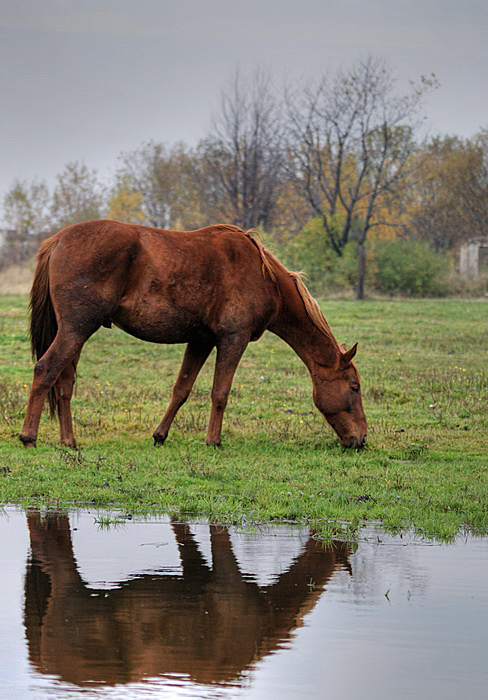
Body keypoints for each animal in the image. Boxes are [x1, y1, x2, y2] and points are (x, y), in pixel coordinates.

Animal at [20, 219, 366, 448]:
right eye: (355, 387)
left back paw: (69, 441)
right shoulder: (233, 338)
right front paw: (213, 441)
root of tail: (58, 240)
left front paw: (160, 435)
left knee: (64, 383)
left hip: (75, 333)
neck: (263, 275)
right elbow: (220, 393)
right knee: (45, 370)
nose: (361, 438)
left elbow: (181, 390)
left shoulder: (201, 340)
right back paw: (28, 437)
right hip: (77, 329)